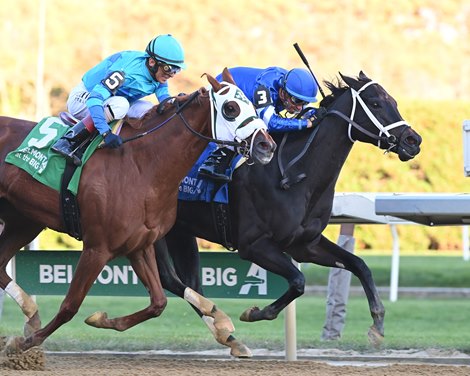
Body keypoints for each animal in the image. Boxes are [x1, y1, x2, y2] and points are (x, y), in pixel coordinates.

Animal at [0, 67, 278, 352]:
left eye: (252, 105)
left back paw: (31, 312)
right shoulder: (97, 247)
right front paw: (24, 343)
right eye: (230, 108)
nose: (266, 146)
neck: (142, 165)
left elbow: (158, 302)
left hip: (23, 221)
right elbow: (69, 306)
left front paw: (101, 319)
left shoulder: (140, 245)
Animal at [153, 72, 422, 354]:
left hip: (180, 231)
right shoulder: (253, 245)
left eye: (393, 101)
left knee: (188, 282)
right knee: (170, 279)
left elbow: (359, 265)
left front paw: (377, 325)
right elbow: (298, 280)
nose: (413, 141)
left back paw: (226, 333)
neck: (295, 175)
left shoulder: (305, 245)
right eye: (375, 103)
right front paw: (253, 312)